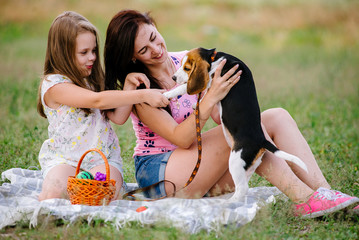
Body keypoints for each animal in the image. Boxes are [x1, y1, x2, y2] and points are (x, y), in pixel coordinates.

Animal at [166, 47, 310, 202]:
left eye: (187, 68)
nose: (173, 78)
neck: (213, 58)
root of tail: (261, 140)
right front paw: (193, 104)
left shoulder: (212, 81)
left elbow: (185, 88)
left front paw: (166, 94)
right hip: (249, 165)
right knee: (244, 186)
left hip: (236, 161)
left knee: (242, 188)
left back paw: (229, 203)